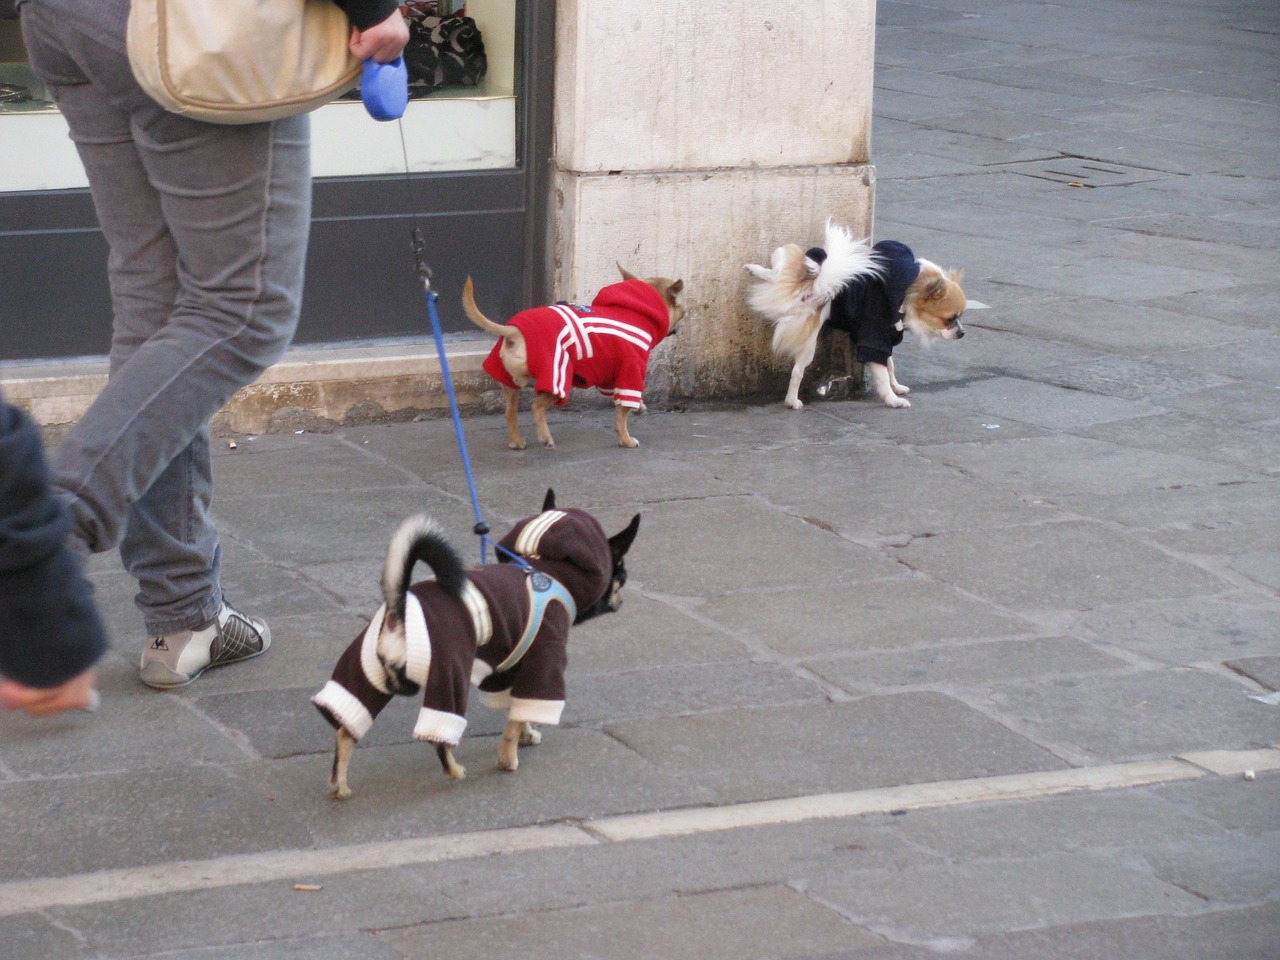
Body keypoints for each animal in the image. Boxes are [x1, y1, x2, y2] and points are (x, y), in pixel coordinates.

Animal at [460, 267, 680, 450]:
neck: (635, 311)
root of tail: (515, 331)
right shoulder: (631, 370)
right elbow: (621, 415)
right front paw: (626, 439)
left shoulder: (612, 379)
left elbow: (625, 401)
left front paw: (640, 406)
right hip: (557, 379)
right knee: (536, 406)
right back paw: (545, 438)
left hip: (510, 384)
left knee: (510, 411)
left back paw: (517, 441)